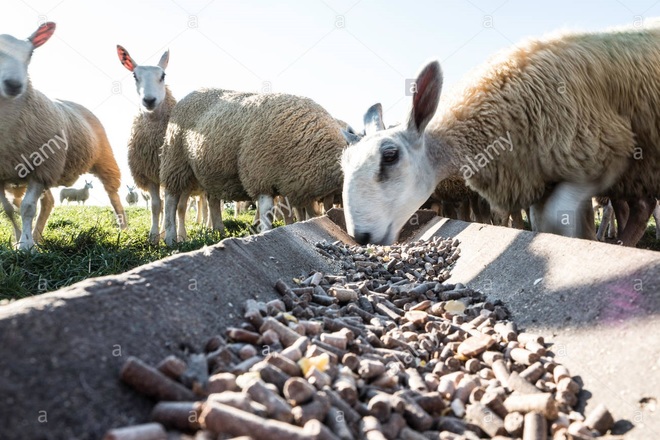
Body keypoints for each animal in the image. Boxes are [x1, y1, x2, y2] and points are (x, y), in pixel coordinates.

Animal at [0, 22, 127, 250]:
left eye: (30, 54)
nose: (14, 85)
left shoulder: (41, 168)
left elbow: (27, 208)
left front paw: (26, 247)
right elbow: (8, 211)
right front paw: (19, 240)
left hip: (104, 158)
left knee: (113, 195)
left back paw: (124, 229)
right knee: (48, 202)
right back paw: (37, 236)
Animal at [160, 89, 348, 245]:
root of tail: (190, 95)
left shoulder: (303, 185)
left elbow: (308, 213)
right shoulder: (260, 174)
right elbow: (266, 212)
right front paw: (266, 233)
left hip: (212, 170)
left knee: (212, 200)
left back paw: (219, 231)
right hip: (176, 160)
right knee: (171, 199)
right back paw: (171, 238)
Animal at [341, 26, 660, 245]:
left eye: (390, 156)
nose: (361, 237)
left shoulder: (603, 156)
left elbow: (557, 219)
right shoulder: (538, 183)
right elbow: (544, 222)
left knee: (642, 207)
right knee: (639, 207)